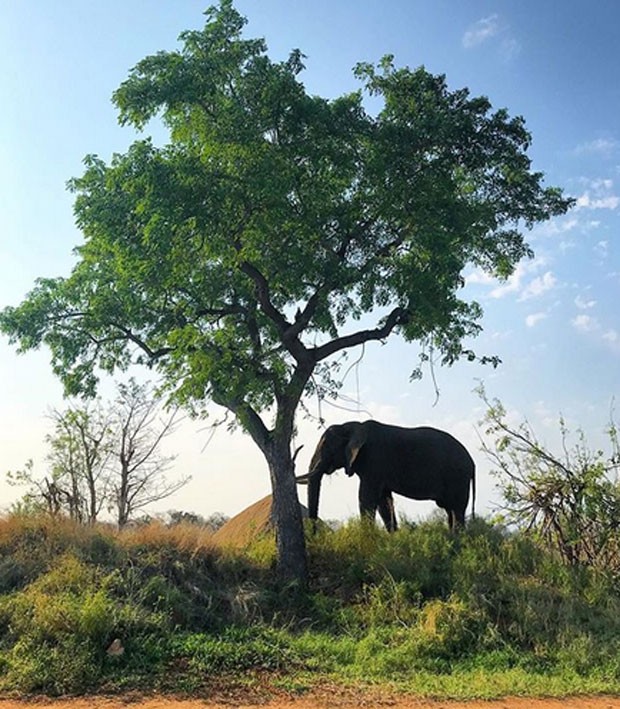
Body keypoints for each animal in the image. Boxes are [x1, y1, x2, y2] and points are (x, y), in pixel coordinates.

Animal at [296, 420, 474, 532]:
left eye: (326, 447)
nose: (314, 534)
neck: (351, 425)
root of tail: (472, 462)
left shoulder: (374, 461)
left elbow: (366, 498)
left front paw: (366, 539)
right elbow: (383, 502)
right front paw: (393, 538)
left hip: (458, 477)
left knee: (457, 509)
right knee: (450, 509)